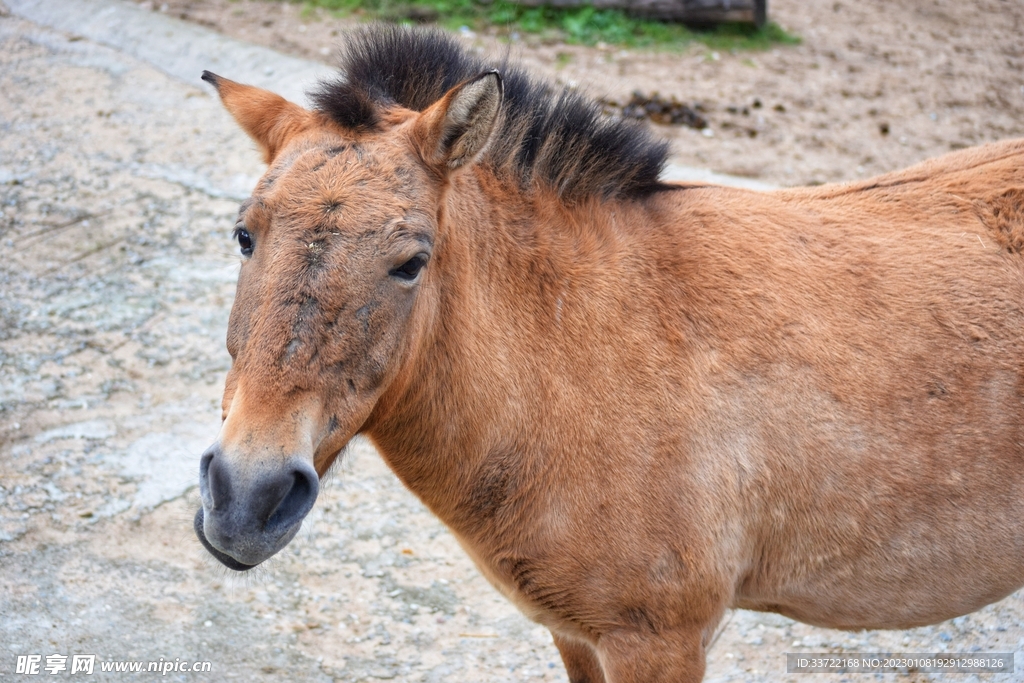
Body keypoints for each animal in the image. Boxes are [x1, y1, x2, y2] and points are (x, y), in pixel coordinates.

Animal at [193, 25, 1024, 682]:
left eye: (411, 261)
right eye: (244, 235)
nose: (246, 497)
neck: (586, 355)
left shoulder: (659, 639)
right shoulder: (575, 631)